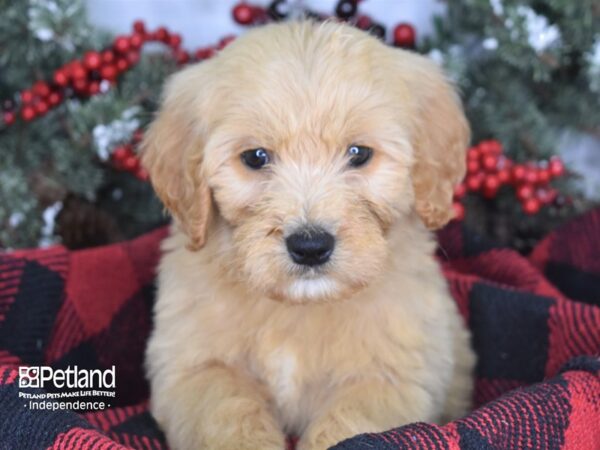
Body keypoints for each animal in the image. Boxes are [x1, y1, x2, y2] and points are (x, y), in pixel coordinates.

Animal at [143, 19, 476, 448]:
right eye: (255, 157)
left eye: (359, 153)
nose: (310, 246)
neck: (298, 309)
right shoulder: (193, 368)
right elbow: (228, 415)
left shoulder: (391, 380)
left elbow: (348, 426)